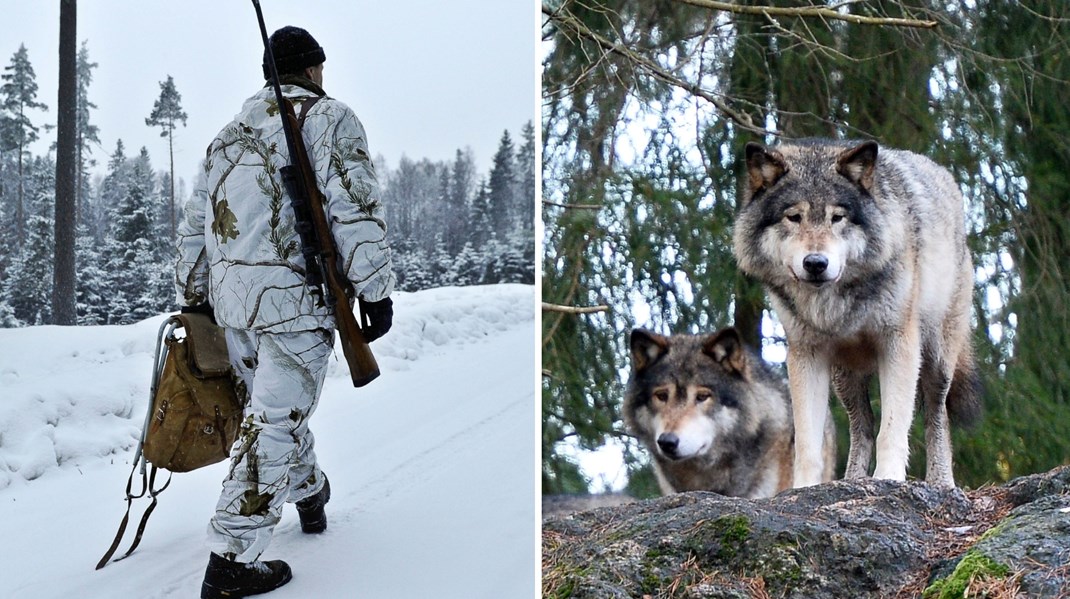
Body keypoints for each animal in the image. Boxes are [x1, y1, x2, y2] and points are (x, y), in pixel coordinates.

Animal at [736, 140, 980, 492]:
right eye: (793, 217)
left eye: (838, 217)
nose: (815, 263)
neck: (835, 303)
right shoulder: (806, 354)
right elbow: (808, 443)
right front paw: (803, 490)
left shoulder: (898, 344)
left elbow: (893, 428)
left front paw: (889, 478)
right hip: (845, 376)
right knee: (861, 424)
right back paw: (852, 480)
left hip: (937, 359)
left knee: (937, 416)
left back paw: (941, 483)